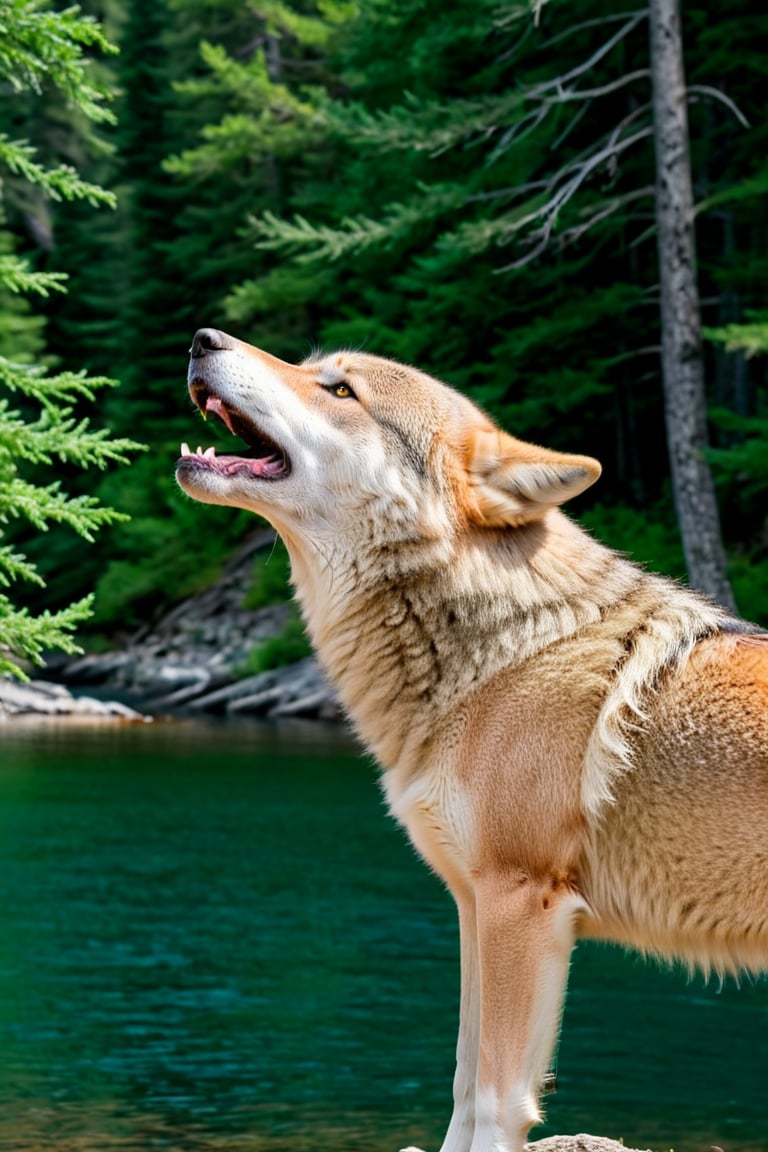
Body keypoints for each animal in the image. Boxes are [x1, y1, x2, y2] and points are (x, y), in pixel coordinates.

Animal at [177, 327, 768, 1152]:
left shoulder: (521, 904)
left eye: (341, 389)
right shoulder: (471, 903)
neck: (504, 651)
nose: (203, 338)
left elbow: (494, 1097)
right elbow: (460, 1080)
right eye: (313, 366)